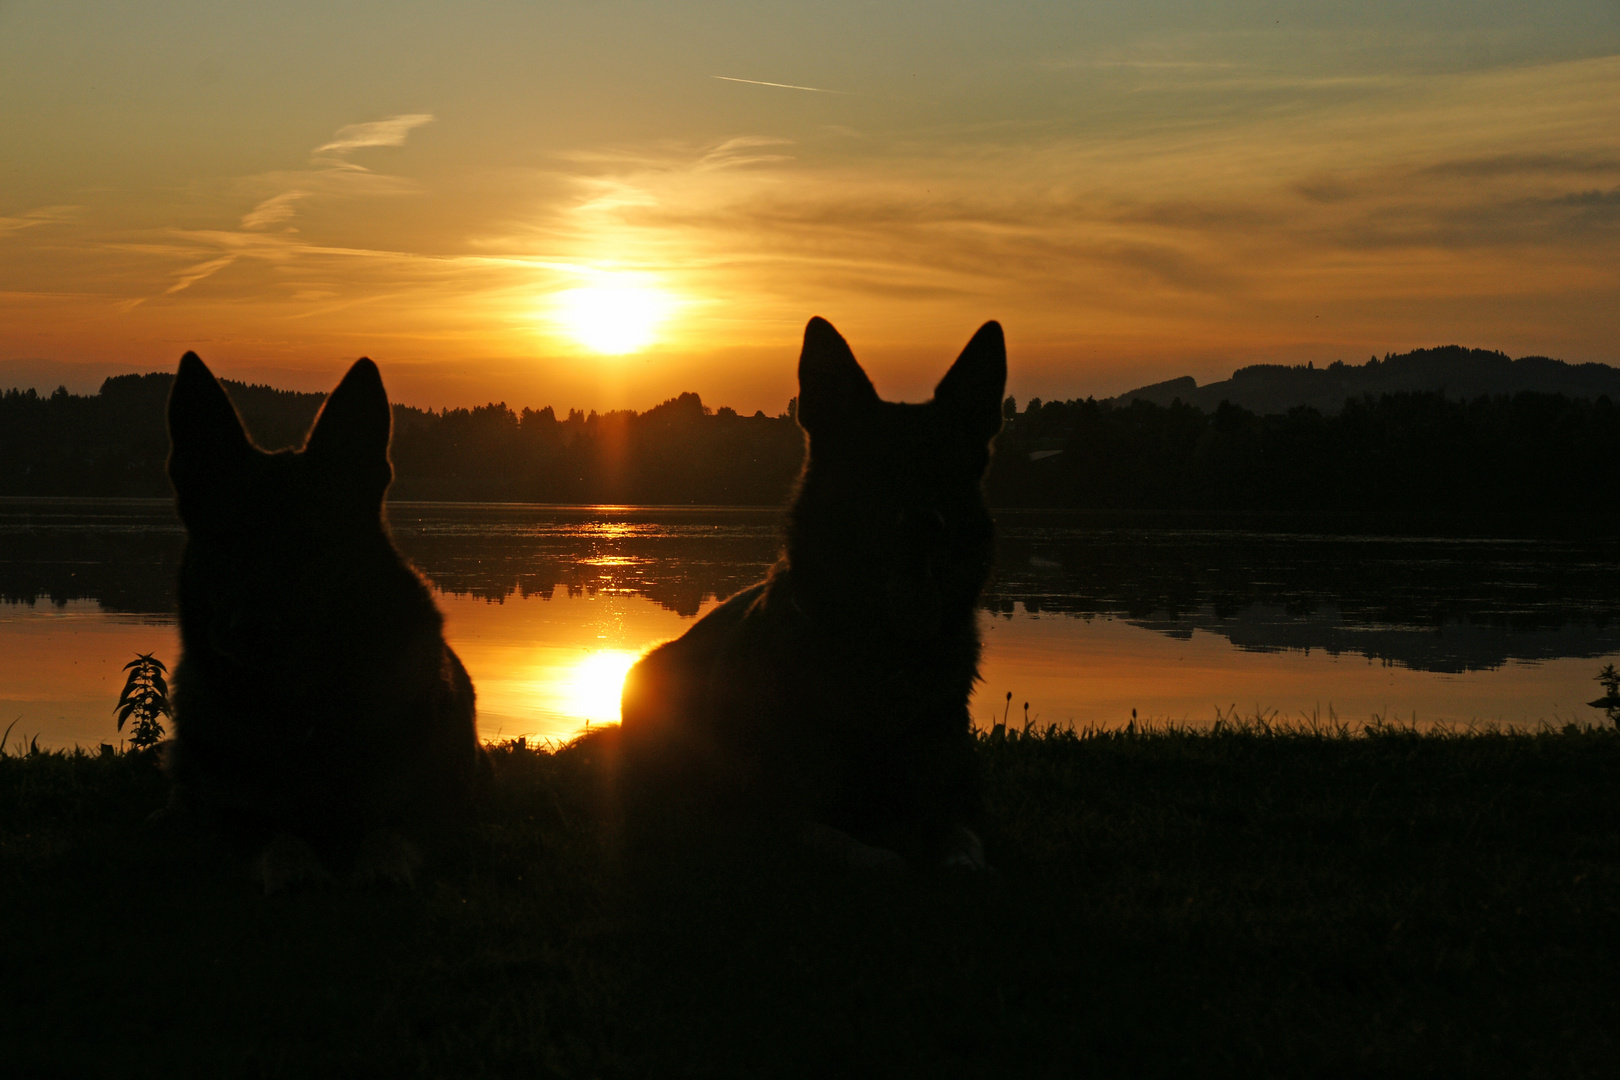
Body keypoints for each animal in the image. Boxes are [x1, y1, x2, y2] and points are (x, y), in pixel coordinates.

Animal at [169, 354, 492, 893]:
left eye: (313, 542)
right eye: (225, 541)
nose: (248, 630)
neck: (304, 713)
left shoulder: (442, 806)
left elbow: (391, 830)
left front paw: (382, 866)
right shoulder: (218, 816)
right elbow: (270, 832)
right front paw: (294, 866)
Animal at [615, 318, 1004, 867]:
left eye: (945, 471)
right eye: (872, 467)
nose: (925, 525)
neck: (881, 661)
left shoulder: (960, 802)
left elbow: (963, 847)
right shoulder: (750, 819)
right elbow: (850, 847)